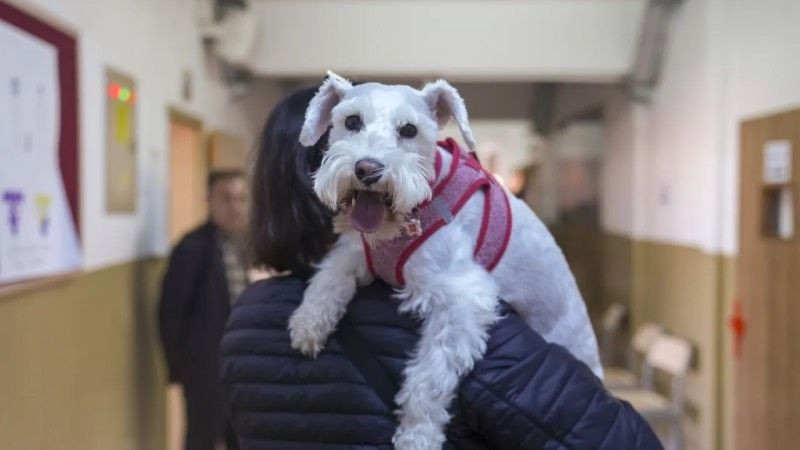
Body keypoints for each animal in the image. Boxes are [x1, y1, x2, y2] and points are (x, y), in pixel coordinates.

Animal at [288, 72, 600, 448]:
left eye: (409, 130)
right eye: (351, 121)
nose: (367, 169)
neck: (416, 209)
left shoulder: (462, 302)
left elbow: (426, 382)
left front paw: (416, 436)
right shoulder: (360, 251)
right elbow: (331, 273)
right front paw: (308, 322)